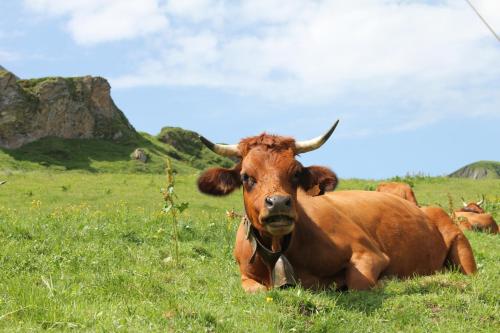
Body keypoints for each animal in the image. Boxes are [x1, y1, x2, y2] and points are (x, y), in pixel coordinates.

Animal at [195, 121, 476, 290]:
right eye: (246, 176)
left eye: (296, 173)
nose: (279, 203)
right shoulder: (246, 276)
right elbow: (254, 289)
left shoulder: (369, 254)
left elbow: (358, 283)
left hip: (461, 246)